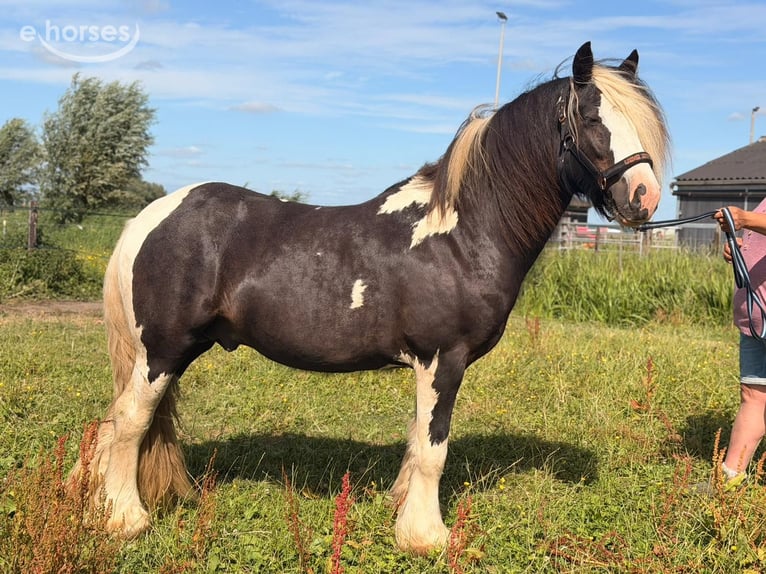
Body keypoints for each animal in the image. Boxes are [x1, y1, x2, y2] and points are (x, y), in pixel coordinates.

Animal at [69, 41, 670, 554]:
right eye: (591, 118)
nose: (643, 197)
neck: (461, 233)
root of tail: (149, 216)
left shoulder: (429, 365)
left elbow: (417, 443)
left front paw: (403, 513)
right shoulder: (443, 358)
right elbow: (433, 448)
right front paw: (427, 537)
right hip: (162, 352)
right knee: (126, 425)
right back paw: (125, 519)